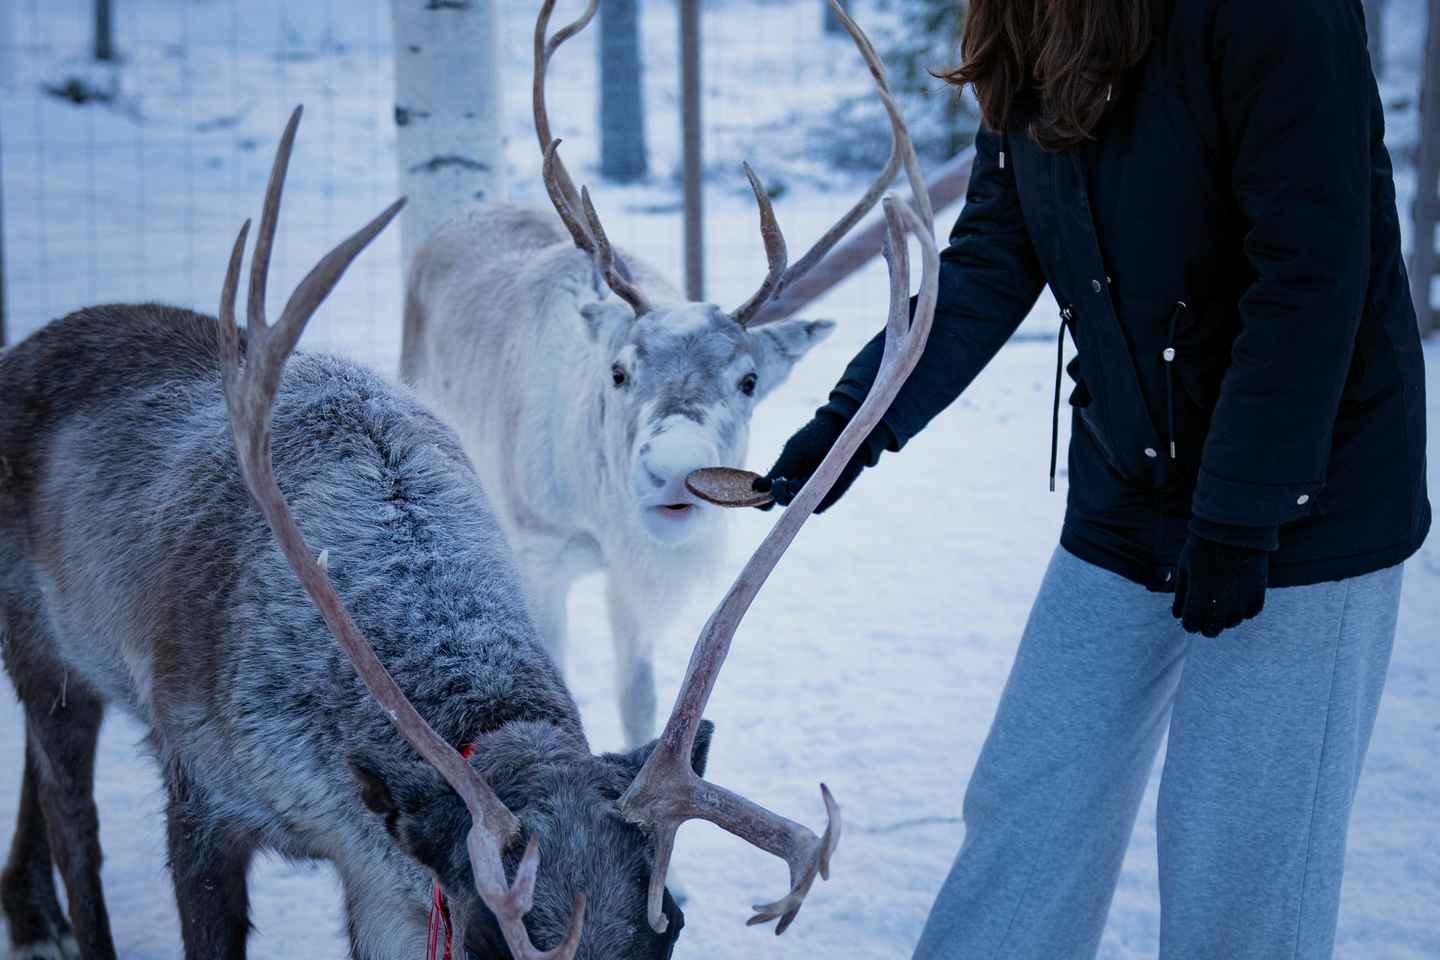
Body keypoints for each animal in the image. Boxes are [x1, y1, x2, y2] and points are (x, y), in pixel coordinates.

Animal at [402, 0, 912, 748]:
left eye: (749, 380)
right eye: (618, 371)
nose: (674, 469)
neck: (601, 516)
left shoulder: (634, 577)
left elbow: (638, 699)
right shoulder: (540, 549)